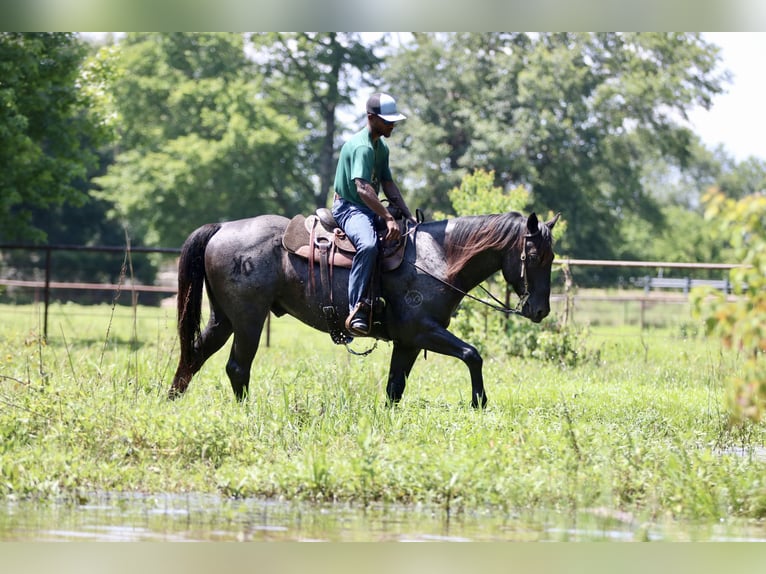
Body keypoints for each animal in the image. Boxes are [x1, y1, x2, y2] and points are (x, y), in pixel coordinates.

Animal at [170, 210, 559, 408]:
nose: (540, 310)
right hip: (249, 319)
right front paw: (480, 402)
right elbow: (472, 354)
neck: (437, 258)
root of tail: (222, 227)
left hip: (224, 319)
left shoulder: (408, 342)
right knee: (237, 367)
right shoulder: (423, 331)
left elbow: (394, 387)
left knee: (194, 355)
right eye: (534, 255)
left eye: (552, 256)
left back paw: (172, 400)